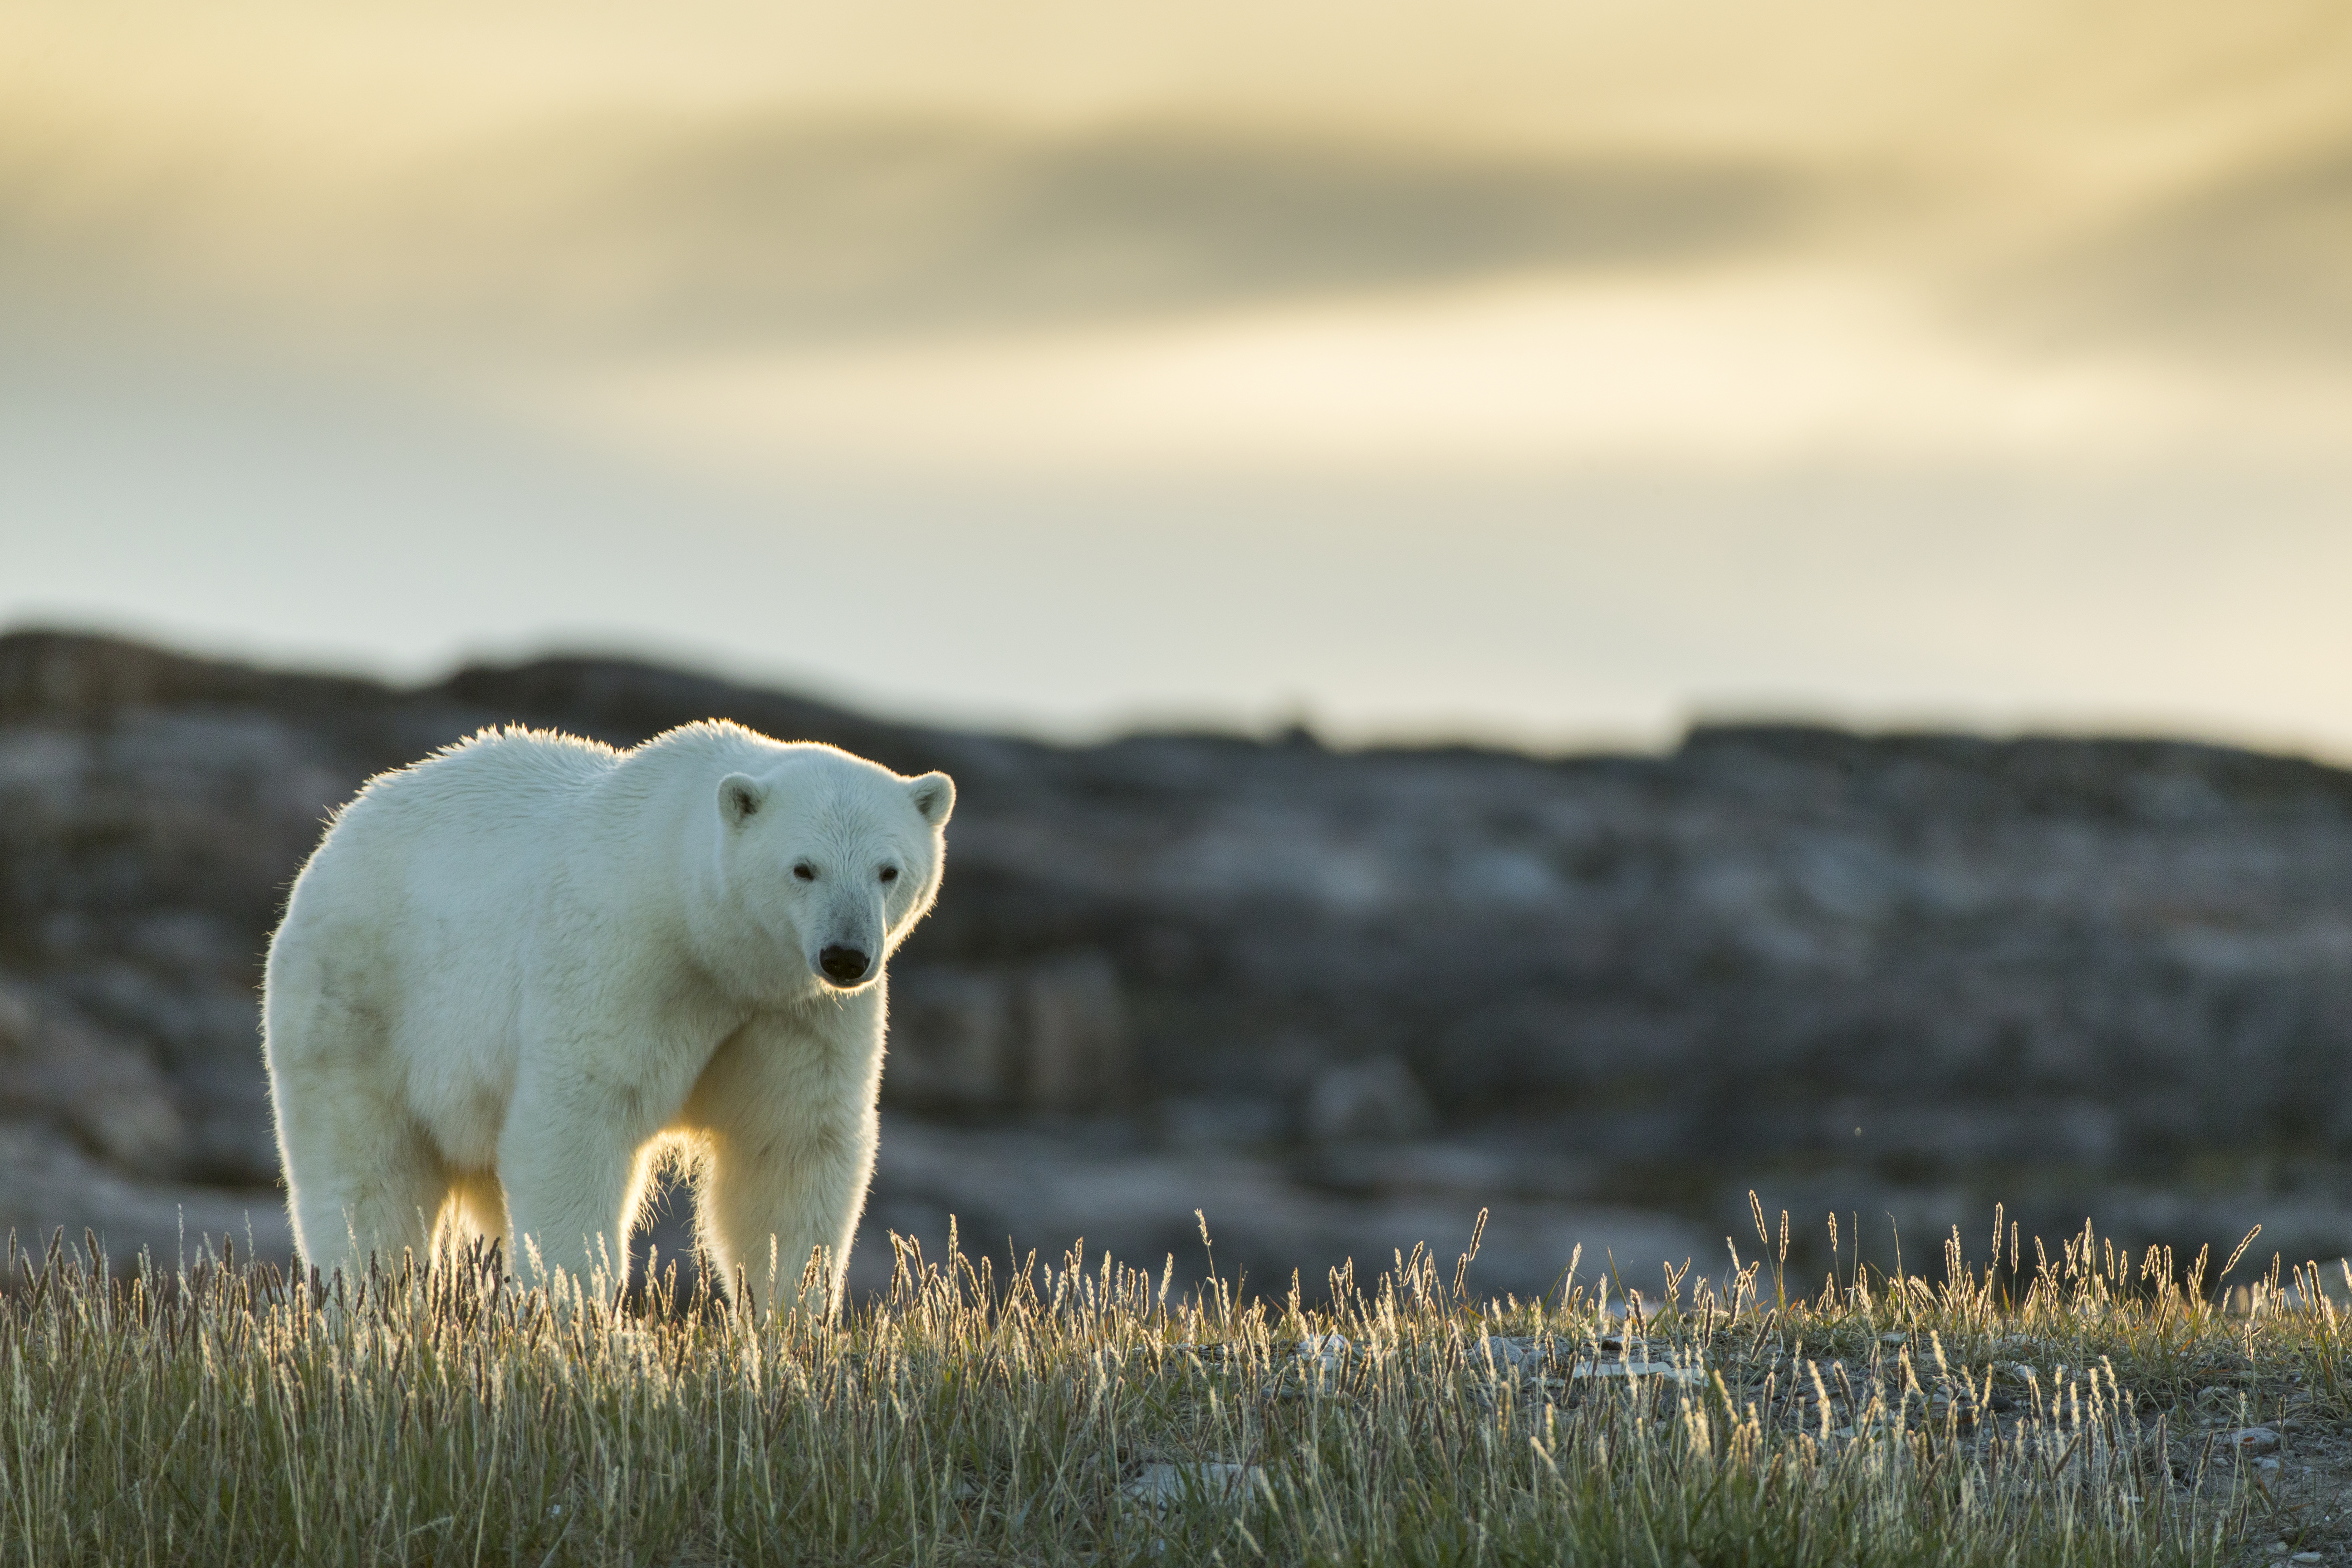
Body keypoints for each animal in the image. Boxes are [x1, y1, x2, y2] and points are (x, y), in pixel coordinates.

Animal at [262, 719, 953, 1314]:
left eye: (889, 871)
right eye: (803, 868)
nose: (845, 956)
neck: (708, 941)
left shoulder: (794, 1013)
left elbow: (791, 1147)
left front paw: (793, 1316)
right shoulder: (623, 959)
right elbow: (578, 1123)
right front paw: (571, 1310)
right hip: (362, 998)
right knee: (365, 1181)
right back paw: (366, 1305)